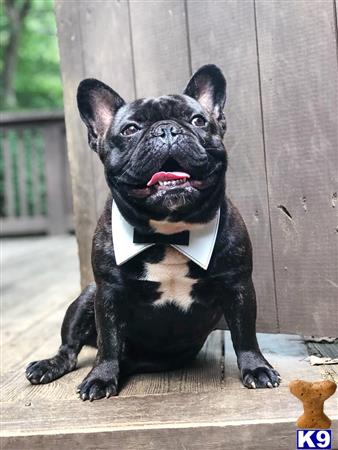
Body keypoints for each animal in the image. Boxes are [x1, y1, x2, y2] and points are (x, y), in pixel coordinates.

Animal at [25, 63, 280, 400]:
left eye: (198, 121)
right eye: (130, 129)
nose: (167, 130)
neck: (168, 234)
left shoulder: (238, 285)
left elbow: (245, 334)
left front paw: (256, 368)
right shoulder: (107, 294)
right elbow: (108, 341)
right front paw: (101, 378)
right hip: (86, 297)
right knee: (70, 346)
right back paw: (50, 365)